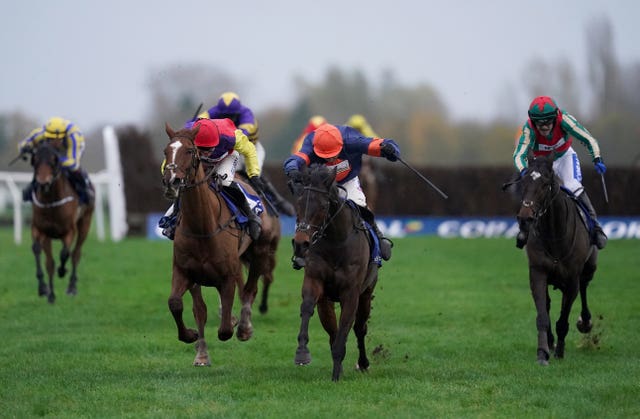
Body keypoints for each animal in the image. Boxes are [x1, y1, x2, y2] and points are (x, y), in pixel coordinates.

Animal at [27, 143, 94, 304]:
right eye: (35, 160)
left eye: (54, 160)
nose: (43, 183)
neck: (51, 202)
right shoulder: (39, 229)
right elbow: (38, 251)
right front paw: (44, 289)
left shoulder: (69, 231)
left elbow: (65, 254)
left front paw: (62, 271)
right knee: (50, 262)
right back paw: (51, 294)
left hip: (86, 222)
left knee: (76, 254)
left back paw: (72, 287)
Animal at [160, 122, 280, 368]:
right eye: (166, 151)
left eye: (190, 151)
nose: (171, 181)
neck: (203, 227)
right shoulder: (186, 272)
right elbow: (183, 306)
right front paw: (195, 343)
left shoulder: (226, 276)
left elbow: (225, 329)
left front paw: (236, 325)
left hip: (260, 252)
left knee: (250, 290)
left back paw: (244, 327)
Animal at [288, 166, 378, 382]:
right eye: (298, 203)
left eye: (322, 206)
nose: (301, 243)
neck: (337, 242)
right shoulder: (315, 280)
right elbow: (307, 308)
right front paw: (302, 353)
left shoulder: (351, 292)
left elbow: (347, 325)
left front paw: (336, 375)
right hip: (327, 300)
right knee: (332, 329)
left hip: (366, 293)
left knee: (359, 328)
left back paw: (363, 363)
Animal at [508, 154, 596, 368]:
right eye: (524, 182)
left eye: (545, 184)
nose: (525, 217)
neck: (555, 234)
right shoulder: (538, 272)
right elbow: (542, 316)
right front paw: (542, 352)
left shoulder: (572, 279)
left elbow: (563, 320)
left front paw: (560, 351)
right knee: (548, 305)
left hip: (589, 267)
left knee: (584, 286)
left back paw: (585, 322)